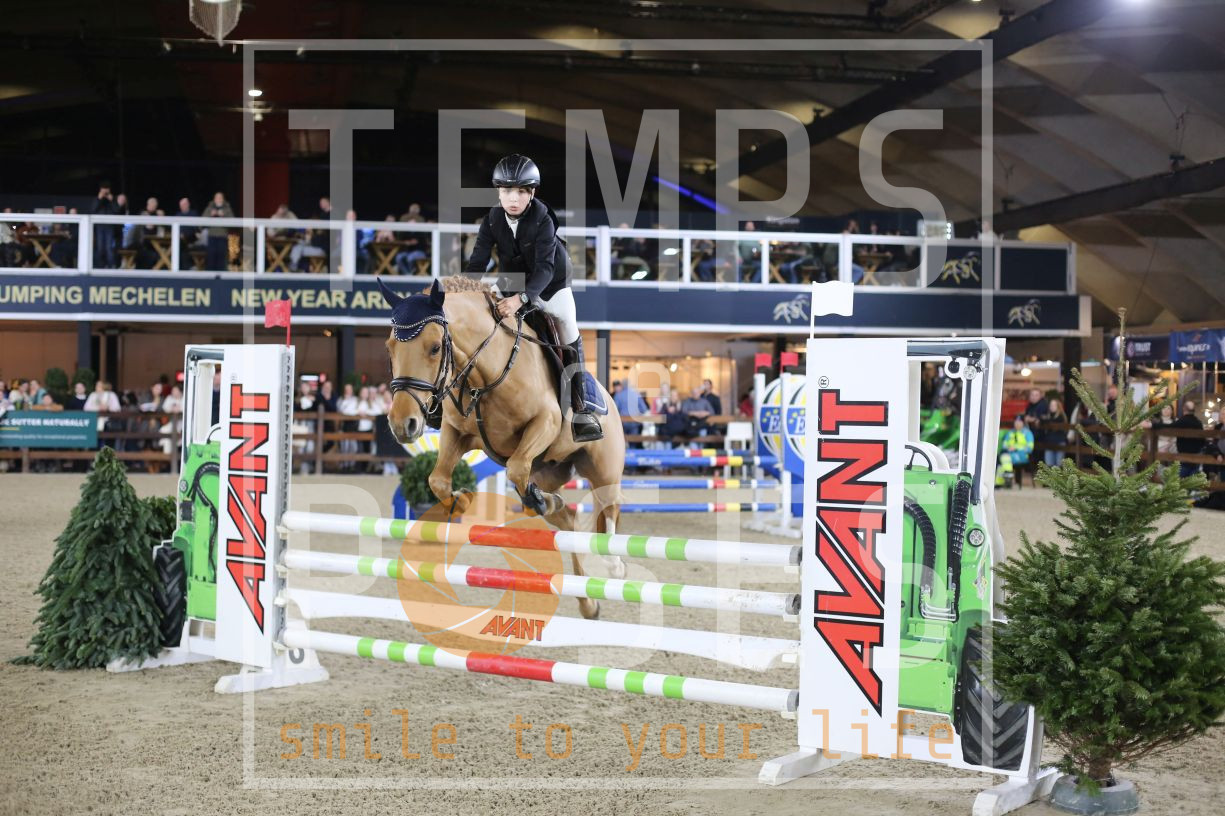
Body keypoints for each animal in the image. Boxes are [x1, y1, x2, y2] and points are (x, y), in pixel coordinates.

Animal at [380, 277, 625, 619]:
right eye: (390, 347)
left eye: (434, 347)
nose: (403, 424)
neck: (485, 369)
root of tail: (609, 398)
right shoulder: (457, 432)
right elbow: (437, 479)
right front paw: (462, 500)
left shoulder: (546, 421)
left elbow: (516, 466)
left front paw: (534, 499)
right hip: (549, 471)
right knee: (569, 522)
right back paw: (586, 598)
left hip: (604, 469)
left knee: (609, 508)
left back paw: (613, 562)